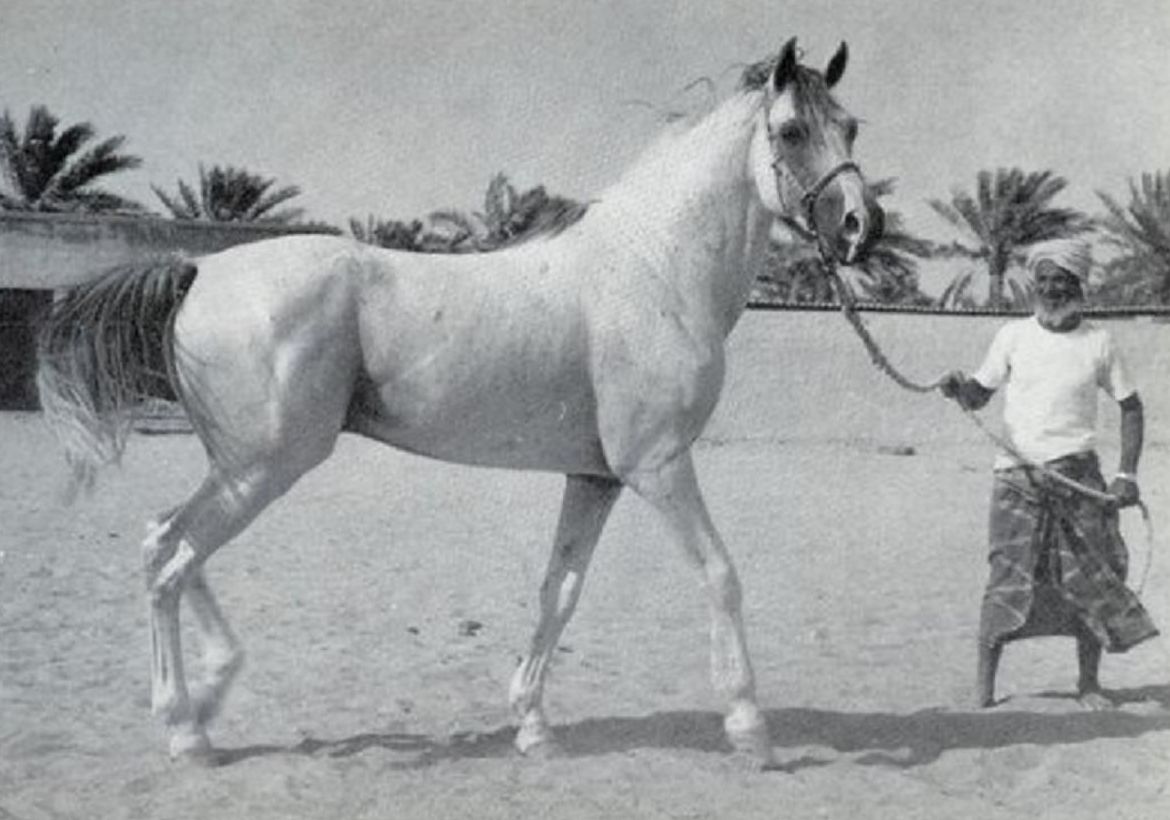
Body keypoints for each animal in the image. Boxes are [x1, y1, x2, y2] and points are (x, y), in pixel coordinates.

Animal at [34, 38, 879, 767]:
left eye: (850, 126)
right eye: (790, 130)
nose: (859, 228)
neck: (653, 268)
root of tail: (199, 271)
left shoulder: (596, 479)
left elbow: (558, 593)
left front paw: (533, 726)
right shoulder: (660, 467)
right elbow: (720, 573)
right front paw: (750, 728)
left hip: (243, 466)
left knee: (168, 542)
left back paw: (210, 695)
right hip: (263, 466)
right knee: (169, 556)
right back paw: (187, 731)